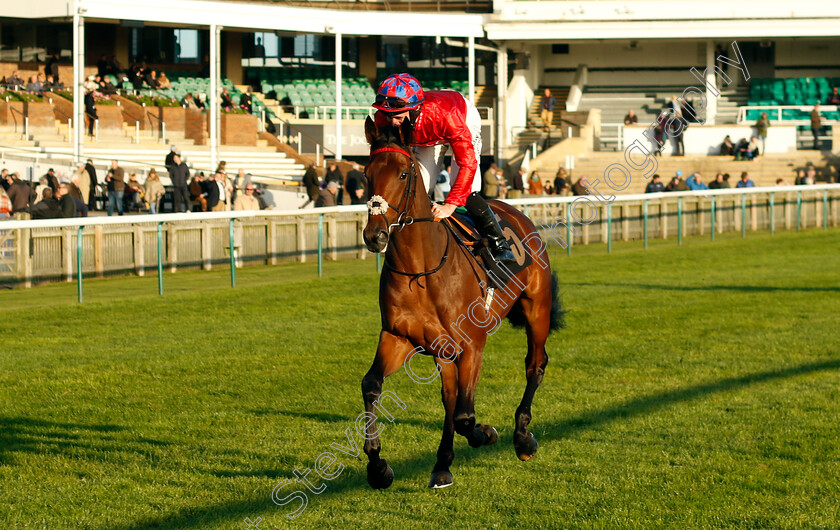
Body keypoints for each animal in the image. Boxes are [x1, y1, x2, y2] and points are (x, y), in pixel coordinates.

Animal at [360, 116, 564, 486]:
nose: (375, 235)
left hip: (536, 308)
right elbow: (372, 384)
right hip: (444, 351)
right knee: (451, 397)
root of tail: (515, 211)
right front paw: (378, 465)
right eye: (367, 173)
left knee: (535, 365)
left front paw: (488, 433)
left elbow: (466, 417)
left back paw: (522, 437)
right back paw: (443, 463)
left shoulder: (472, 344)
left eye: (403, 174)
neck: (421, 270)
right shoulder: (399, 337)